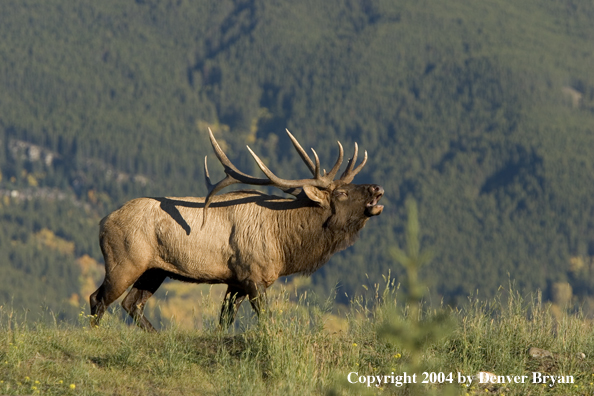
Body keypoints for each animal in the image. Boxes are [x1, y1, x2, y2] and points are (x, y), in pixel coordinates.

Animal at [88, 128, 384, 330]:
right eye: (342, 193)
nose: (377, 187)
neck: (285, 244)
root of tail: (103, 222)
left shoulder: (236, 281)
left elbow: (224, 322)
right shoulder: (253, 276)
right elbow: (266, 320)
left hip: (155, 270)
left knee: (132, 303)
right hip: (124, 261)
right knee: (98, 298)